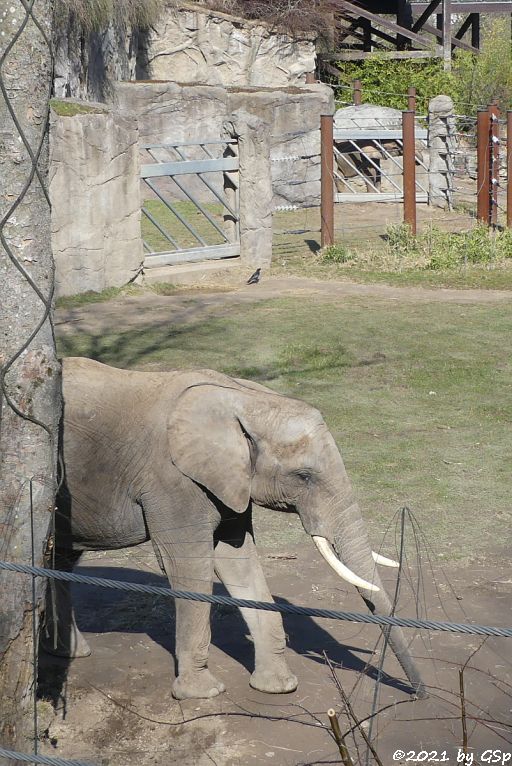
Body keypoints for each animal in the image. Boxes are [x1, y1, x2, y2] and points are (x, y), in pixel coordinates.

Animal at [44, 358, 426, 704]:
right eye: (304, 476)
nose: (418, 694)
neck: (243, 398)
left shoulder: (230, 482)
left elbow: (237, 560)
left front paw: (278, 687)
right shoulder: (172, 482)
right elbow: (189, 564)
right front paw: (202, 694)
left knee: (60, 559)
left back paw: (71, 652)